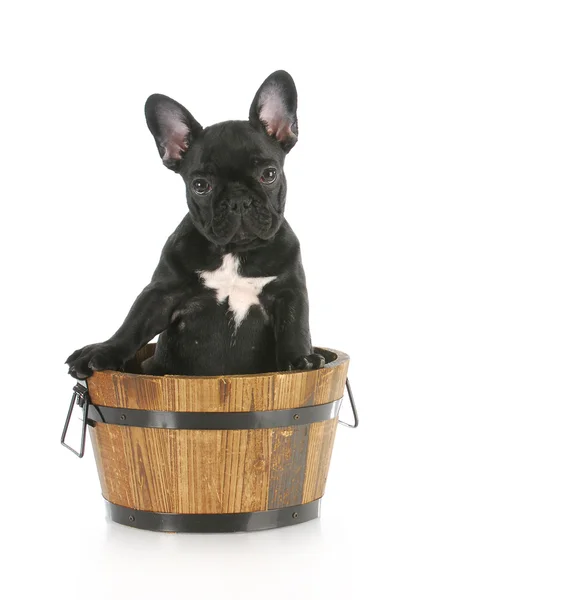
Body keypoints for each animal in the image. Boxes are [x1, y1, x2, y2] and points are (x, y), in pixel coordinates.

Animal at [64, 70, 324, 378]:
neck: (234, 252)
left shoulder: (289, 292)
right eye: (200, 185)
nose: (238, 200)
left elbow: (295, 327)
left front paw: (300, 359)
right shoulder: (161, 294)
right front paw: (104, 351)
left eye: (269, 174)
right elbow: (133, 324)